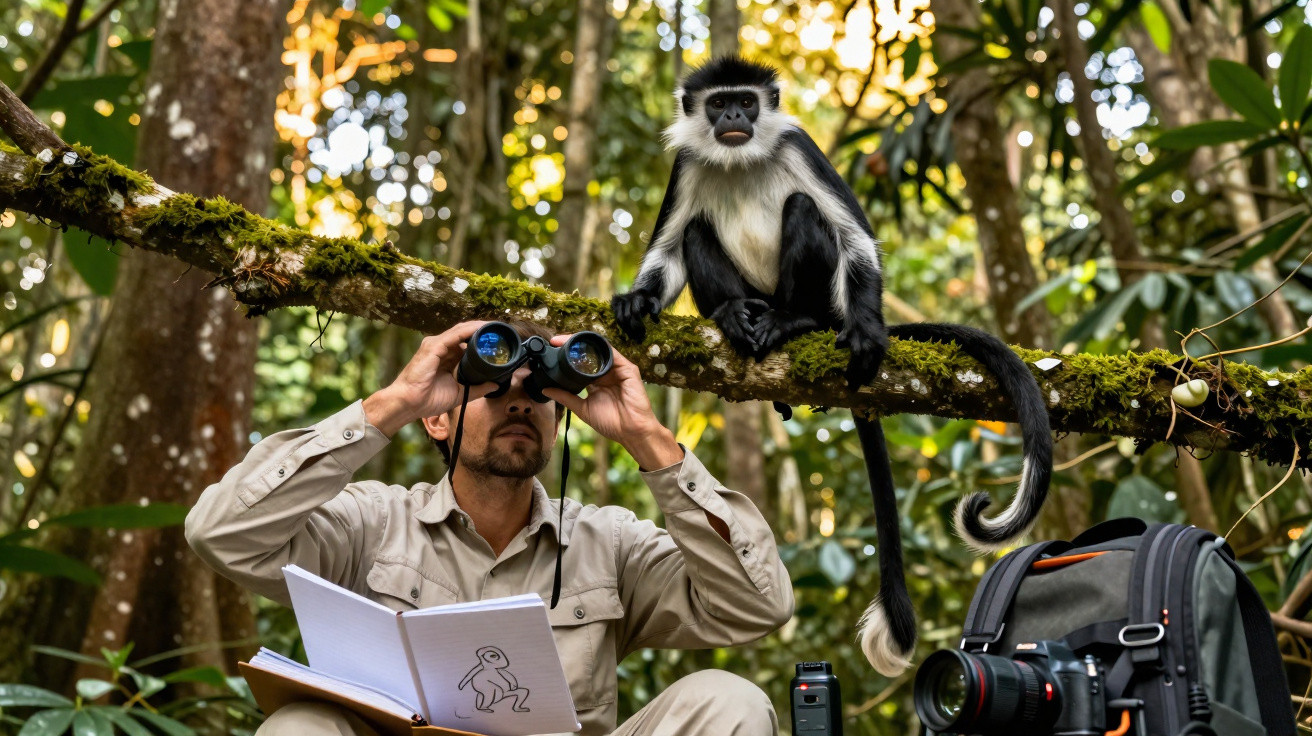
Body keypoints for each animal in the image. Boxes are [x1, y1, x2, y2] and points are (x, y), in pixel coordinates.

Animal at [610, 57, 1053, 676]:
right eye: (719, 103)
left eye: (746, 102)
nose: (732, 119)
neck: (742, 159)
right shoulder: (687, 164)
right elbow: (669, 249)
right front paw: (639, 302)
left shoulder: (798, 145)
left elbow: (854, 235)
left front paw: (865, 332)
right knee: (698, 228)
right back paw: (735, 317)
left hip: (822, 300)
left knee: (804, 211)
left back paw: (797, 324)